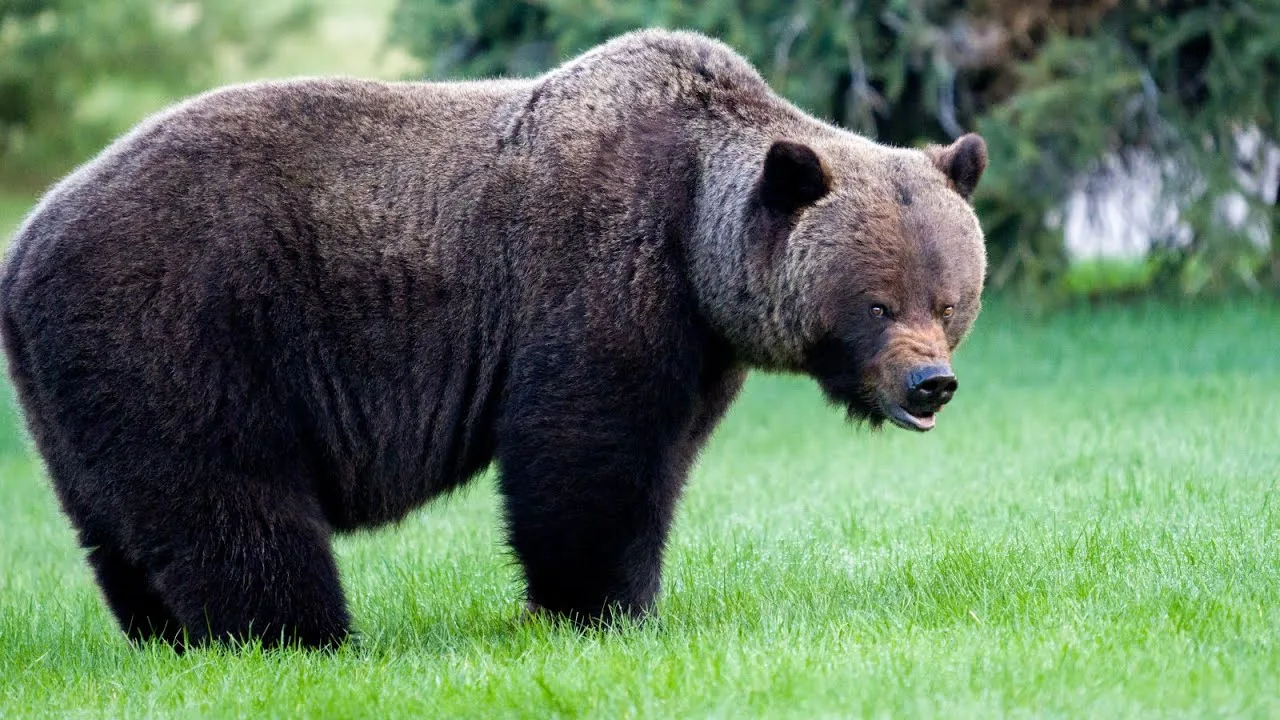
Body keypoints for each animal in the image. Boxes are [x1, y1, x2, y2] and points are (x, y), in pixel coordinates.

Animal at [0, 29, 987, 649]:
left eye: (949, 300)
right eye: (878, 304)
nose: (930, 383)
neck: (695, 235)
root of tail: (24, 244)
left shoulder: (702, 343)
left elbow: (660, 458)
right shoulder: (595, 270)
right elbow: (584, 457)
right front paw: (593, 606)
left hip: (69, 390)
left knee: (117, 521)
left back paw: (170, 636)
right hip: (182, 323)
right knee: (232, 500)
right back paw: (301, 635)